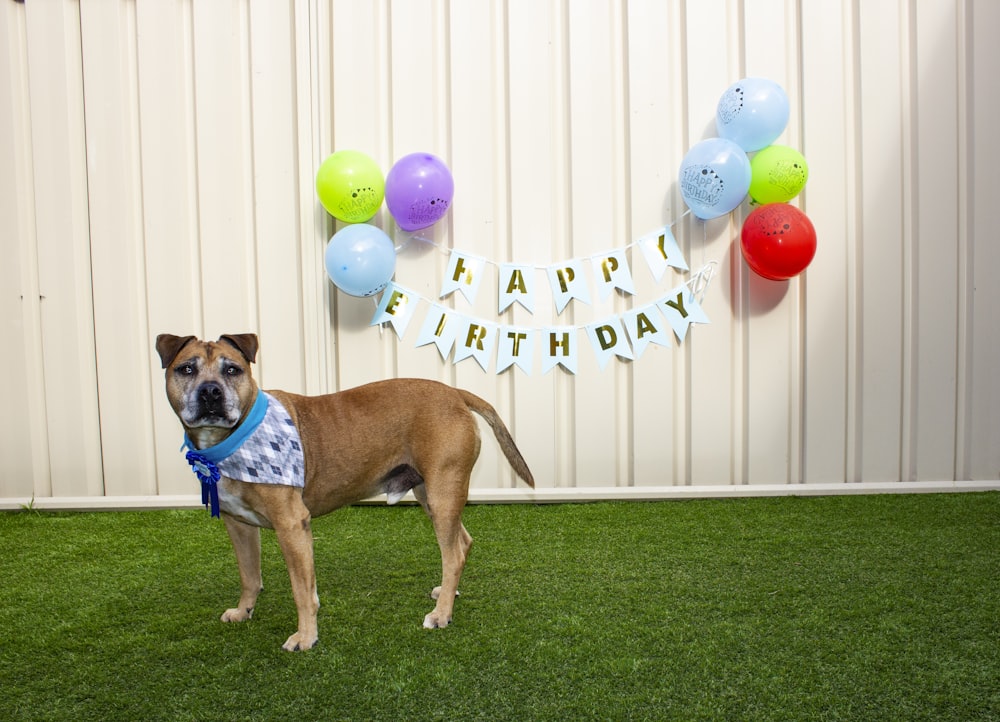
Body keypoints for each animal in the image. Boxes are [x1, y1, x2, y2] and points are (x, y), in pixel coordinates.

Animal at [155, 332, 536, 648]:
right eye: (186, 368)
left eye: (232, 369)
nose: (210, 392)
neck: (238, 437)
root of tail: (455, 393)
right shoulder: (239, 526)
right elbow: (250, 576)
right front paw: (243, 611)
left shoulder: (291, 525)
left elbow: (300, 590)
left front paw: (306, 637)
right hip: (432, 495)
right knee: (461, 543)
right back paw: (447, 592)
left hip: (443, 492)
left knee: (453, 552)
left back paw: (441, 615)